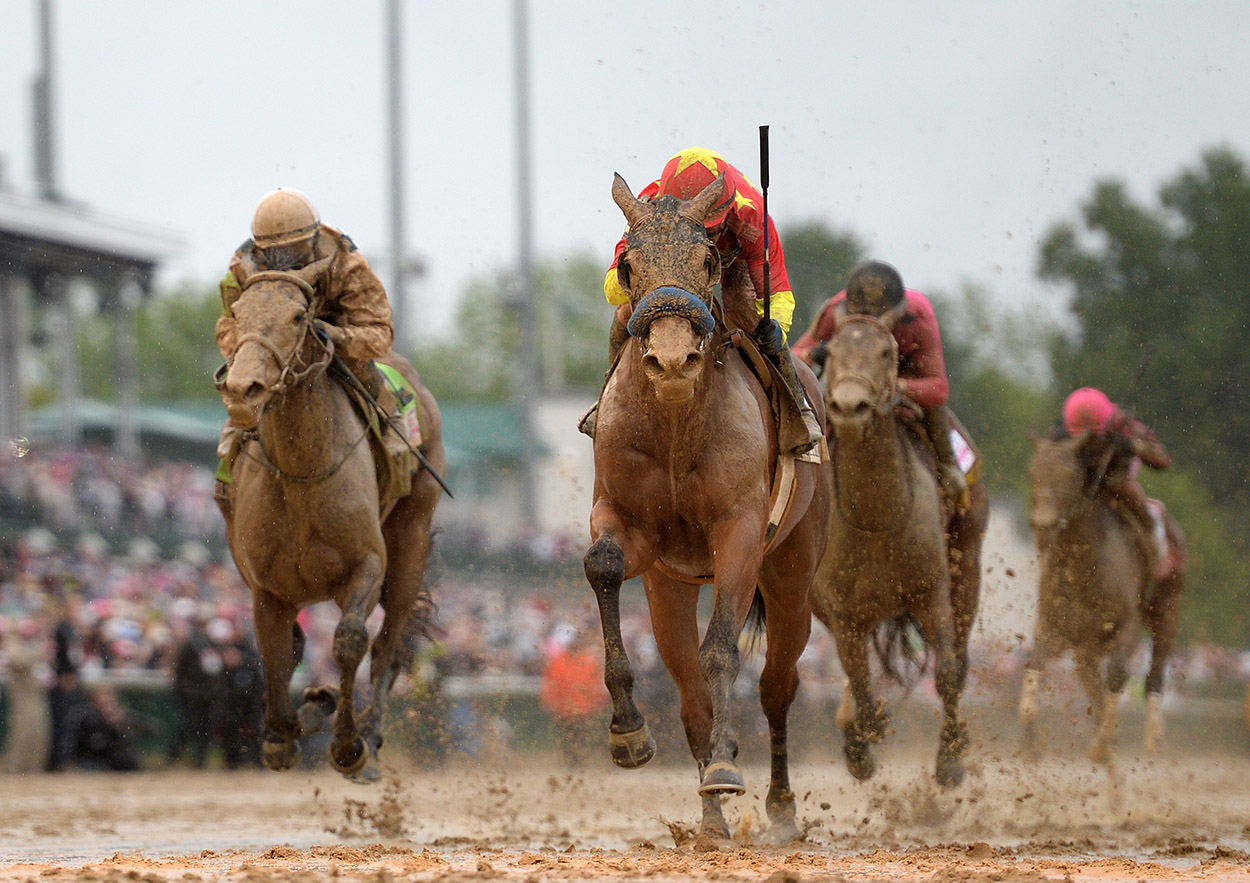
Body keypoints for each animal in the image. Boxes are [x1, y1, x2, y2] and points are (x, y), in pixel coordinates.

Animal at [216, 261, 445, 775]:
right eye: (237, 313)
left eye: (299, 316)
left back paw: (371, 735)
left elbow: (349, 641)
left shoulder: (366, 566)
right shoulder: (268, 591)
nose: (242, 390)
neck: (302, 474)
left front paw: (347, 745)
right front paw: (295, 723)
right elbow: (277, 659)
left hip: (412, 541)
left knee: (387, 648)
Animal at [582, 172, 830, 840]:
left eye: (709, 260)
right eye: (627, 262)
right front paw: (628, 733)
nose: (671, 360)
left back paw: (778, 805)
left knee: (777, 684)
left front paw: (724, 766)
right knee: (689, 690)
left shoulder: (739, 532)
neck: (675, 424)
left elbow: (721, 648)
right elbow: (603, 566)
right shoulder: (628, 525)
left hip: (792, 574)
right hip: (669, 589)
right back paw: (712, 822)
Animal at [1015, 435, 1180, 765]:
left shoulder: (1127, 625)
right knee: (1090, 678)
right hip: (1086, 647)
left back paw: (1154, 736)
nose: (1043, 524)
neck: (1083, 568)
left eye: (1068, 474)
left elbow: (1117, 675)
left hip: (1167, 610)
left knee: (1155, 673)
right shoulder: (1055, 628)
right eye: (1032, 470)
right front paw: (1030, 740)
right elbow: (1033, 663)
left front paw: (1102, 744)